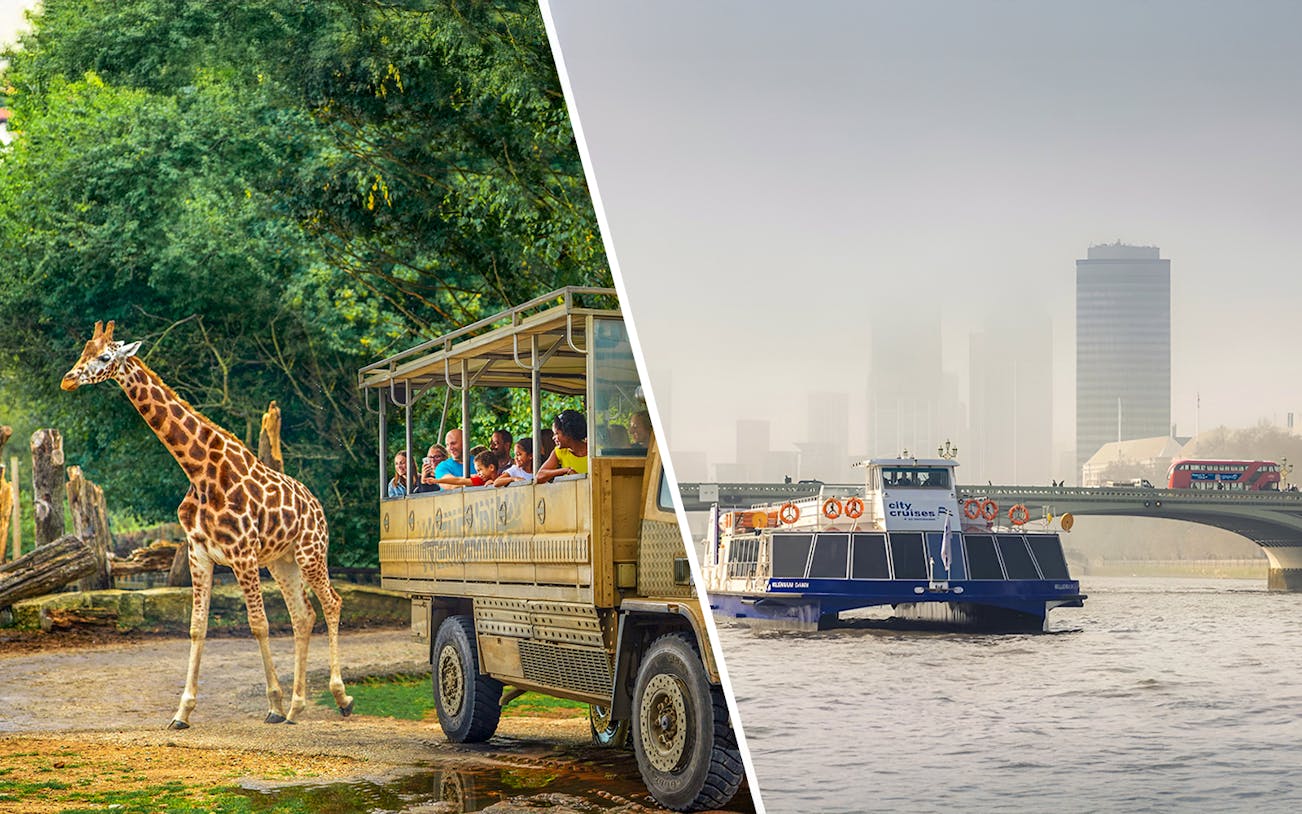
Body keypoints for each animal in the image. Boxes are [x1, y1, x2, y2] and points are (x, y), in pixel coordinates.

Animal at [61, 321, 354, 728]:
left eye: (105, 357)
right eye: (83, 352)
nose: (68, 380)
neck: (199, 471)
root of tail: (317, 505)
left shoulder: (242, 554)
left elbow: (258, 623)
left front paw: (273, 706)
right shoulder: (199, 551)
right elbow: (197, 626)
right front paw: (182, 712)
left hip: (311, 552)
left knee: (332, 603)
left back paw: (339, 698)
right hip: (282, 561)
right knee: (303, 615)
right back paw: (298, 706)